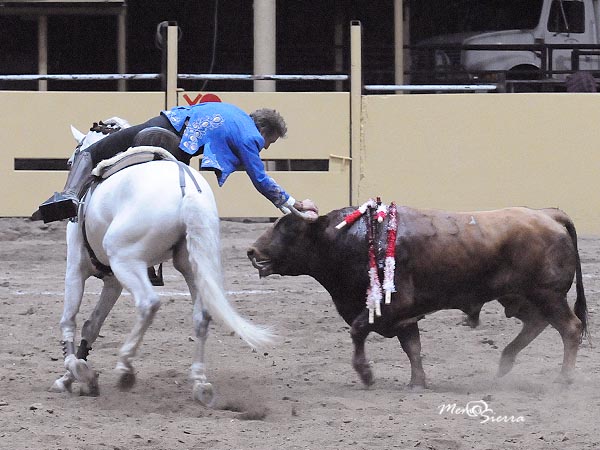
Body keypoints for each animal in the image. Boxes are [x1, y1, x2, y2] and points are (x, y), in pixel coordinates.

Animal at [52, 119, 276, 404]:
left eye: (70, 162)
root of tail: (189, 193)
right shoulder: (113, 281)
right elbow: (92, 325)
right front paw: (76, 376)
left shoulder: (76, 269)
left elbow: (69, 320)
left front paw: (74, 373)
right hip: (193, 265)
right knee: (202, 315)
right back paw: (200, 383)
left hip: (126, 260)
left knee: (149, 303)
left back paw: (126, 368)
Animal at [247, 207, 584, 386]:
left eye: (290, 229)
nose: (252, 251)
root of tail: (547, 214)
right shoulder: (404, 316)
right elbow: (412, 347)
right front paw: (417, 382)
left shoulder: (394, 304)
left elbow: (358, 329)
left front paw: (366, 374)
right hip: (519, 297)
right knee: (536, 322)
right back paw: (504, 365)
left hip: (547, 294)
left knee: (570, 328)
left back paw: (564, 378)